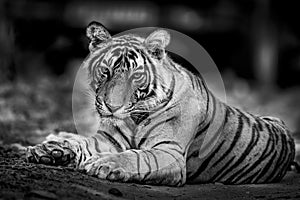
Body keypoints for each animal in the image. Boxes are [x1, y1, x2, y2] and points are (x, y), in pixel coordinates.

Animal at [26, 21, 296, 186]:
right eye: (106, 71)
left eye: (136, 76)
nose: (112, 107)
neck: (134, 118)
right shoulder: (108, 139)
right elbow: (82, 142)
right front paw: (49, 150)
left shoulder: (169, 152)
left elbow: (134, 156)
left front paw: (103, 163)